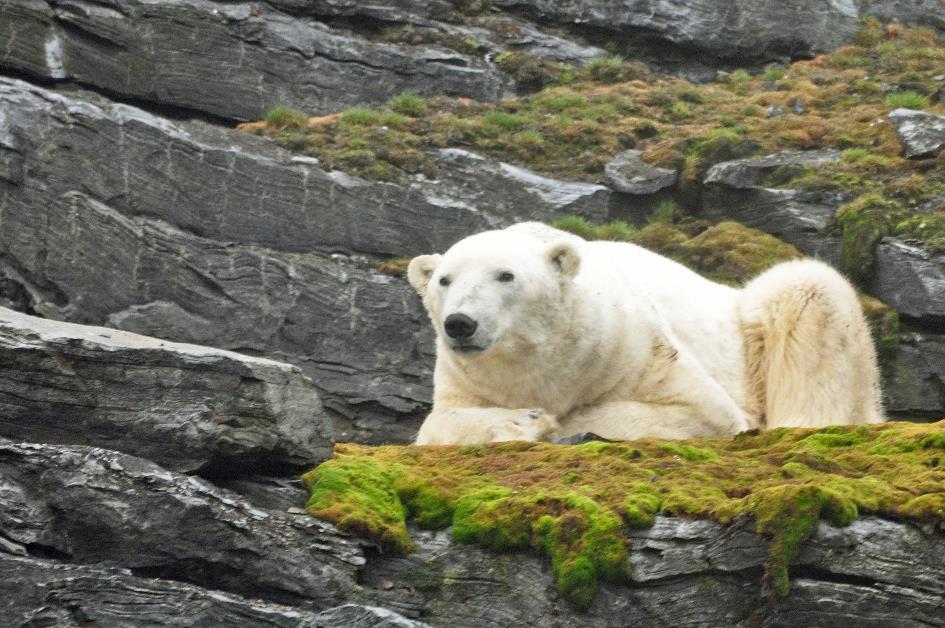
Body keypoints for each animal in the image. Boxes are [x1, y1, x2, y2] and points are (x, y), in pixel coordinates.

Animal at [408, 223, 884, 444]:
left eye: (505, 275)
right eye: (444, 280)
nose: (460, 323)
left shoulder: (632, 347)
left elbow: (703, 410)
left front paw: (553, 420)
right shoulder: (467, 378)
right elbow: (436, 424)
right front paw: (523, 418)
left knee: (808, 291)